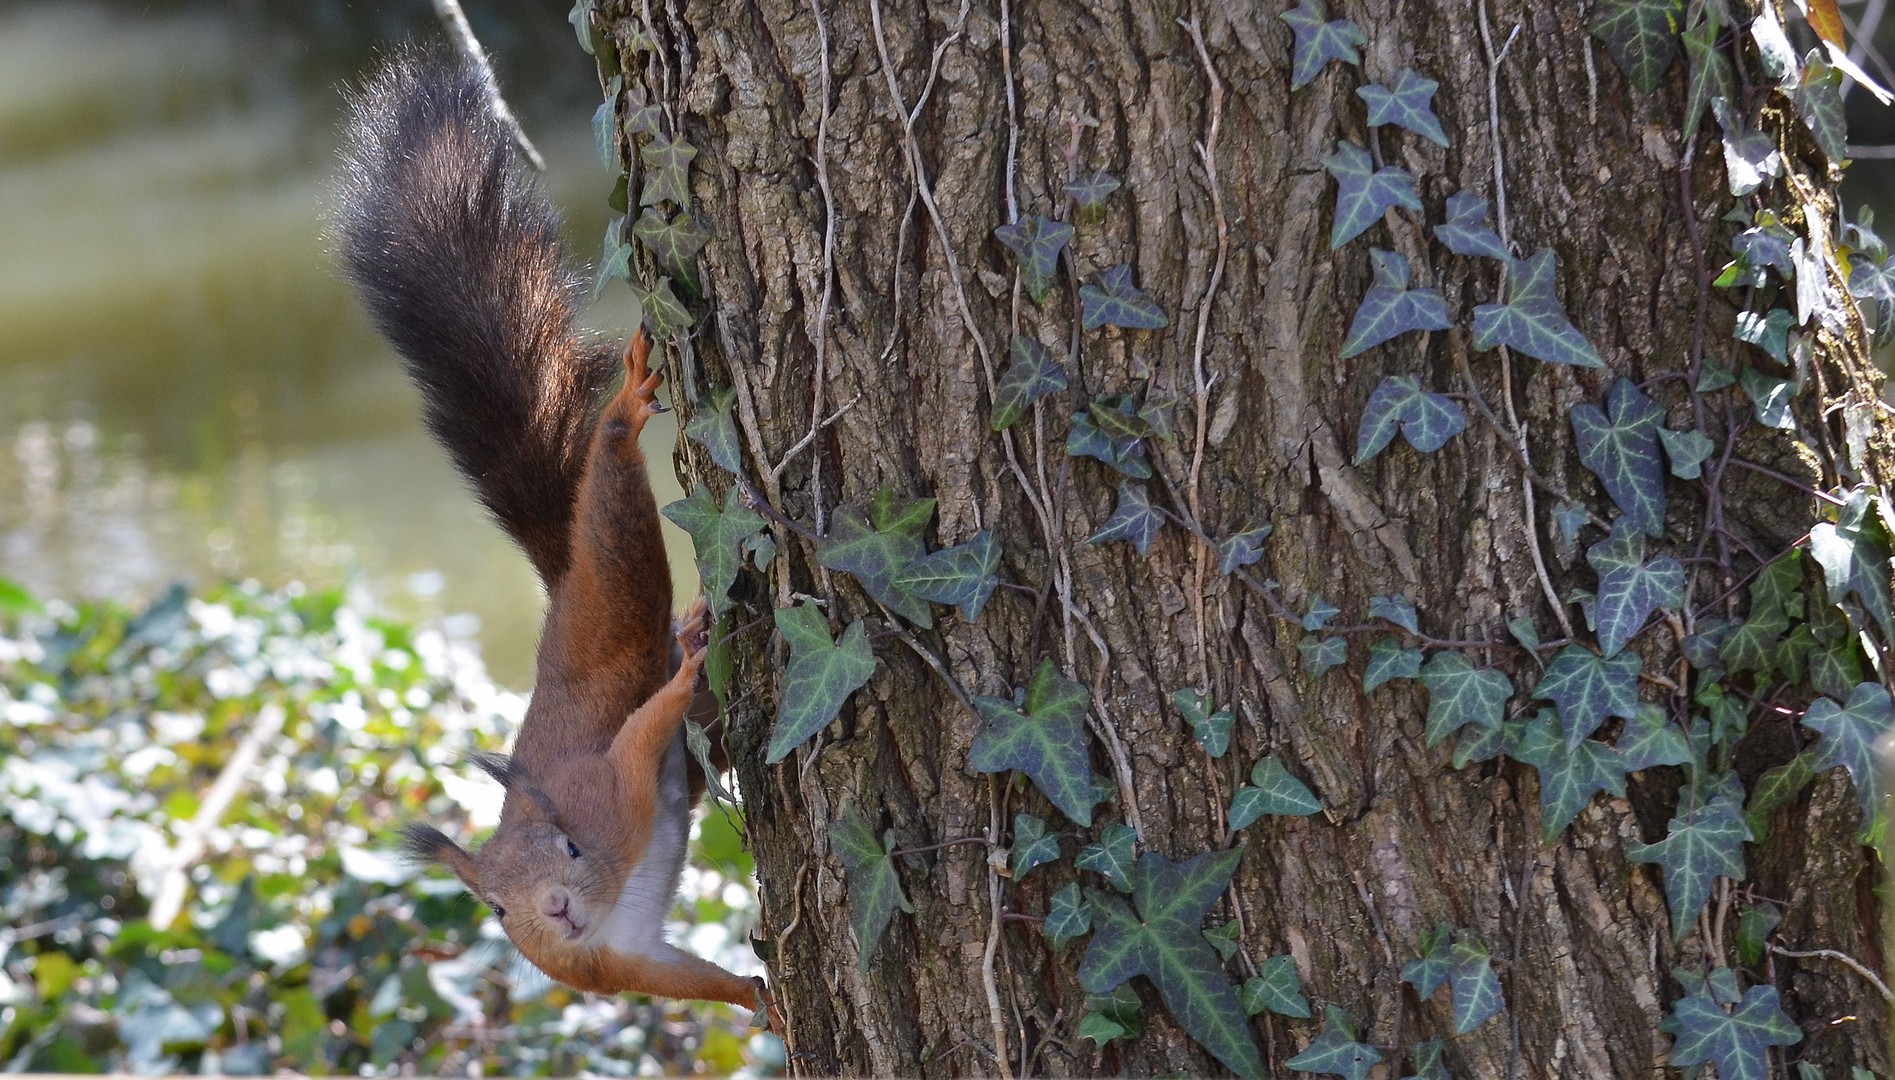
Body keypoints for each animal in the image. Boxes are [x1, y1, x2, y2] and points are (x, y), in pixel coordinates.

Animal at [329, 46, 775, 1025]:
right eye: (494, 910)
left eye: (570, 848)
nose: (560, 909)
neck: (604, 902)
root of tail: (563, 575)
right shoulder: (612, 963)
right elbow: (677, 977)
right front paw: (753, 993)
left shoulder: (613, 794)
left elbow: (643, 734)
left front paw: (679, 679)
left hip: (613, 590)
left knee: (617, 509)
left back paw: (628, 420)